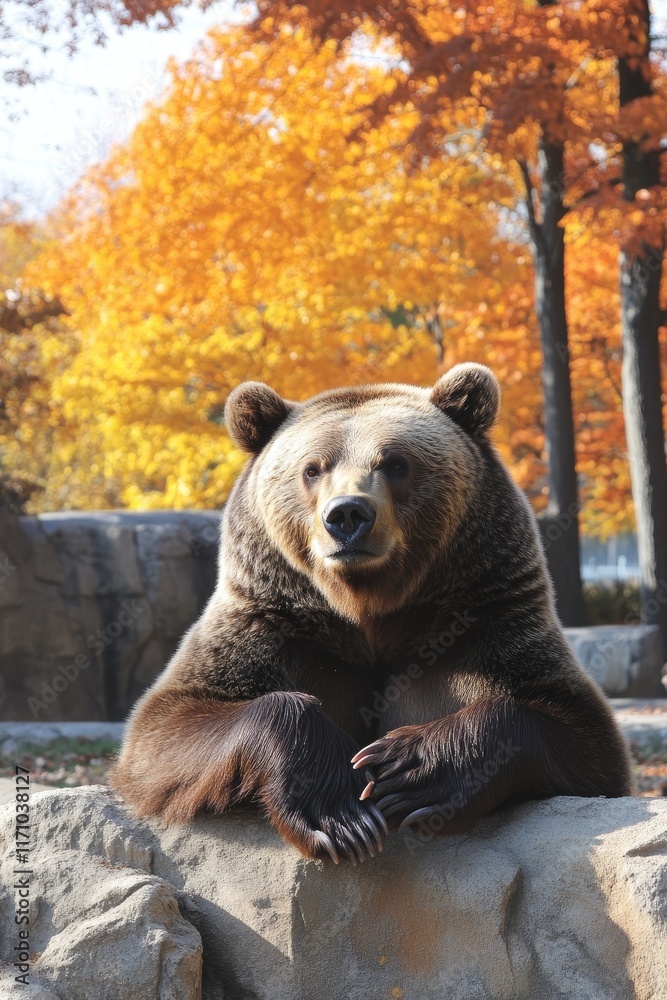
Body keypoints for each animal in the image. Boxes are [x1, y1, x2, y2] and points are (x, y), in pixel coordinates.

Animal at [111, 363, 632, 864]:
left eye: (396, 463)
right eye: (313, 468)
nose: (347, 515)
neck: (369, 615)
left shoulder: (485, 622)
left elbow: (579, 735)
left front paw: (407, 769)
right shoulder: (270, 630)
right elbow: (165, 729)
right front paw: (341, 812)